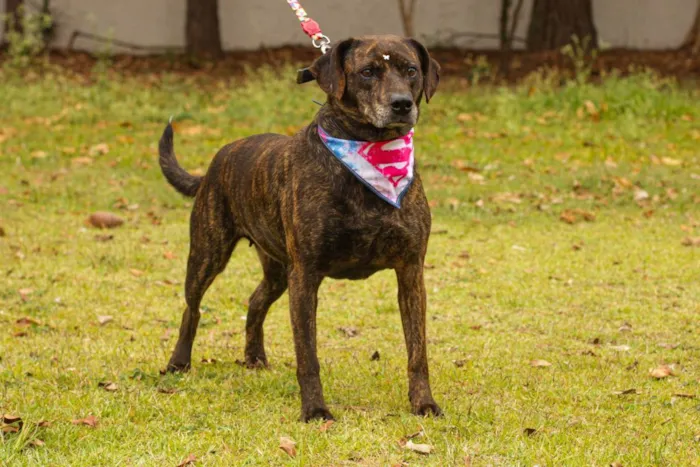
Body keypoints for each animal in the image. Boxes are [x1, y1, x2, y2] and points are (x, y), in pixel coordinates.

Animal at [161, 33, 440, 420]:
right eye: (368, 72)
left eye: (411, 70)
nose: (401, 104)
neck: (370, 148)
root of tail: (217, 161)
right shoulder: (306, 275)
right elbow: (307, 355)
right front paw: (315, 410)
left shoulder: (411, 271)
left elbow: (418, 351)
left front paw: (423, 402)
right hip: (207, 254)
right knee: (192, 308)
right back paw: (178, 362)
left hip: (278, 270)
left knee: (255, 301)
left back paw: (254, 357)